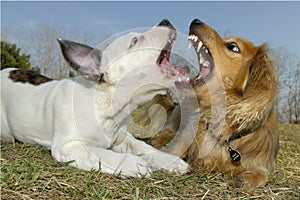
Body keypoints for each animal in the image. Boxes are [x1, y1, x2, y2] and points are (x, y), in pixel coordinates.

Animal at [1, 19, 190, 177]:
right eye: (135, 41)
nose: (165, 20)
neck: (107, 102)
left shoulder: (123, 138)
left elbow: (144, 146)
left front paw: (170, 160)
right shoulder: (69, 146)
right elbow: (103, 154)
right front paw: (136, 163)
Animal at [130, 18, 280, 188]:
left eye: (233, 46)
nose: (196, 20)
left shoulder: (263, 163)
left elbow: (262, 175)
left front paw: (247, 179)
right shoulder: (180, 143)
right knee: (167, 130)